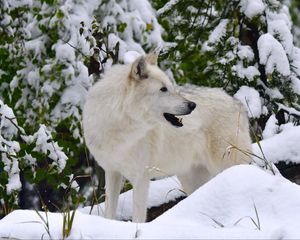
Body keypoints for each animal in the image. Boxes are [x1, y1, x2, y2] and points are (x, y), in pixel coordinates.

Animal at [81, 53, 251, 222]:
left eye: (171, 87)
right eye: (163, 89)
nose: (192, 105)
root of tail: (236, 102)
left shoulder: (141, 178)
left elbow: (138, 218)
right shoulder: (112, 172)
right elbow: (109, 215)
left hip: (226, 165)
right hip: (191, 178)